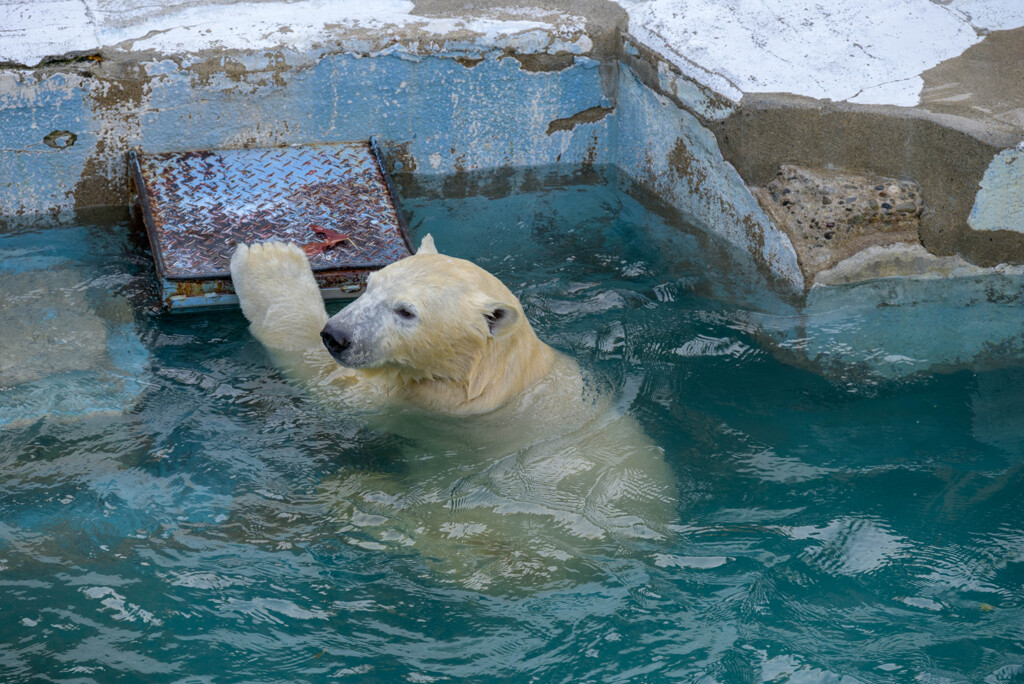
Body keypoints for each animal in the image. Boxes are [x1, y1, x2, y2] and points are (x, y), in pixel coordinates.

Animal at [232, 235, 679, 589]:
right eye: (371, 285)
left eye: (406, 311)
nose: (338, 335)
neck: (488, 371)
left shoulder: (426, 405)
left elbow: (329, 381)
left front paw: (267, 261)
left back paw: (357, 490)